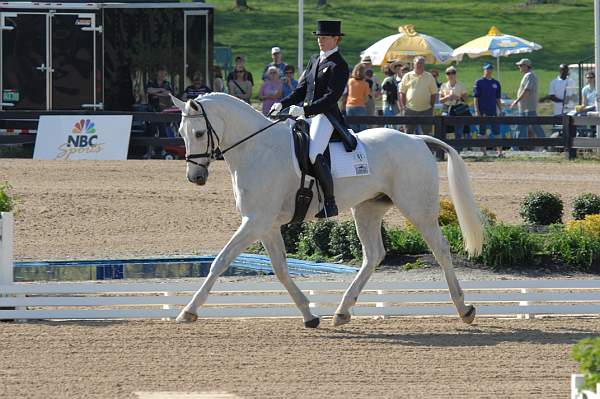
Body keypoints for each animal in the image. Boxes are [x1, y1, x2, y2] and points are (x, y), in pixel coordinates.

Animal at [169, 94, 482, 328]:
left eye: (199, 133)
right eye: (181, 133)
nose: (195, 177)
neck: (257, 149)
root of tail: (417, 140)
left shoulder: (255, 221)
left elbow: (220, 261)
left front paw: (189, 311)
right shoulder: (266, 225)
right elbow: (280, 269)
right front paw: (309, 315)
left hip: (417, 207)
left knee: (440, 249)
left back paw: (464, 308)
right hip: (367, 209)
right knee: (373, 255)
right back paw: (342, 311)